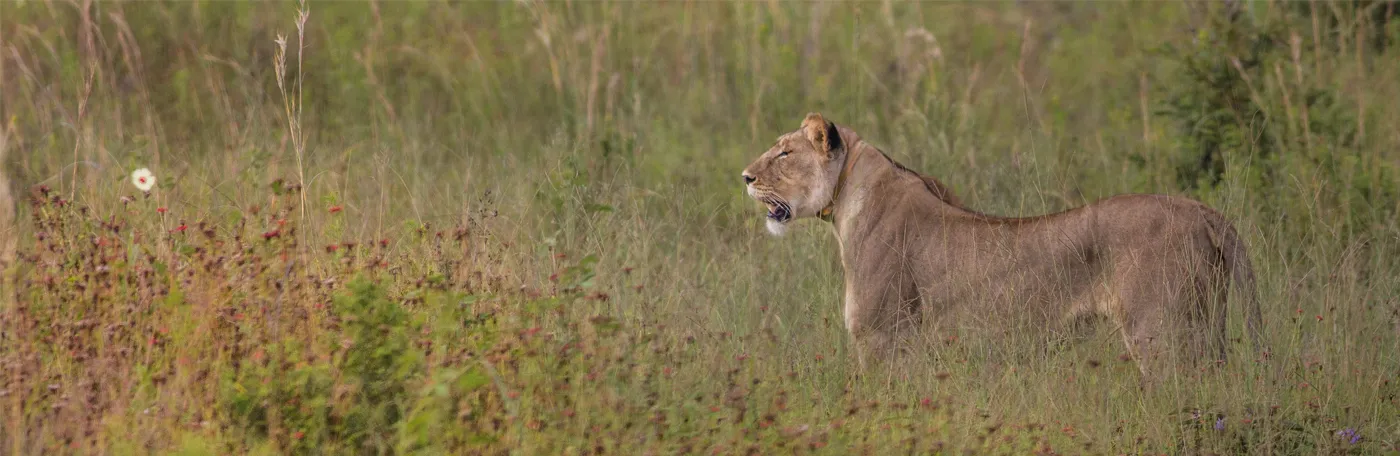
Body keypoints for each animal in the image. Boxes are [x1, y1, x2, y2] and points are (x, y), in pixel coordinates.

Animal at [741, 113, 1264, 379]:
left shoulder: (881, 337)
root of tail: (1202, 210)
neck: (850, 194)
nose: (745, 177)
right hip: (1208, 330)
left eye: (784, 152)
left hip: (1164, 336)